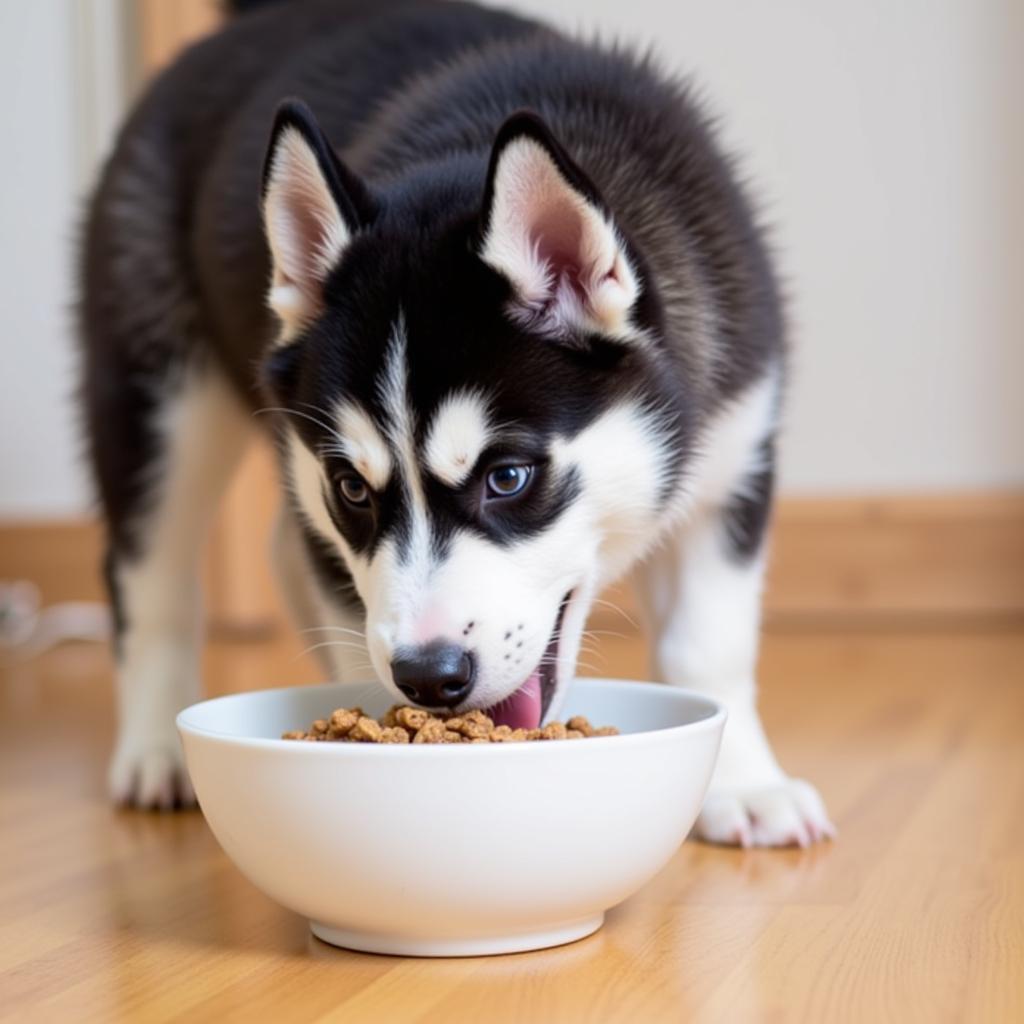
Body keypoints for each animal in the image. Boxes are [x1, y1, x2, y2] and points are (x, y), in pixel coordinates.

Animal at [79, 0, 831, 843]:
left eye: (507, 478)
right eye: (354, 488)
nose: (428, 677)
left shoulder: (735, 456)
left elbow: (709, 643)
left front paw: (745, 785)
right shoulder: (319, 498)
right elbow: (351, 629)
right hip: (158, 396)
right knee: (151, 577)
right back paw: (154, 749)